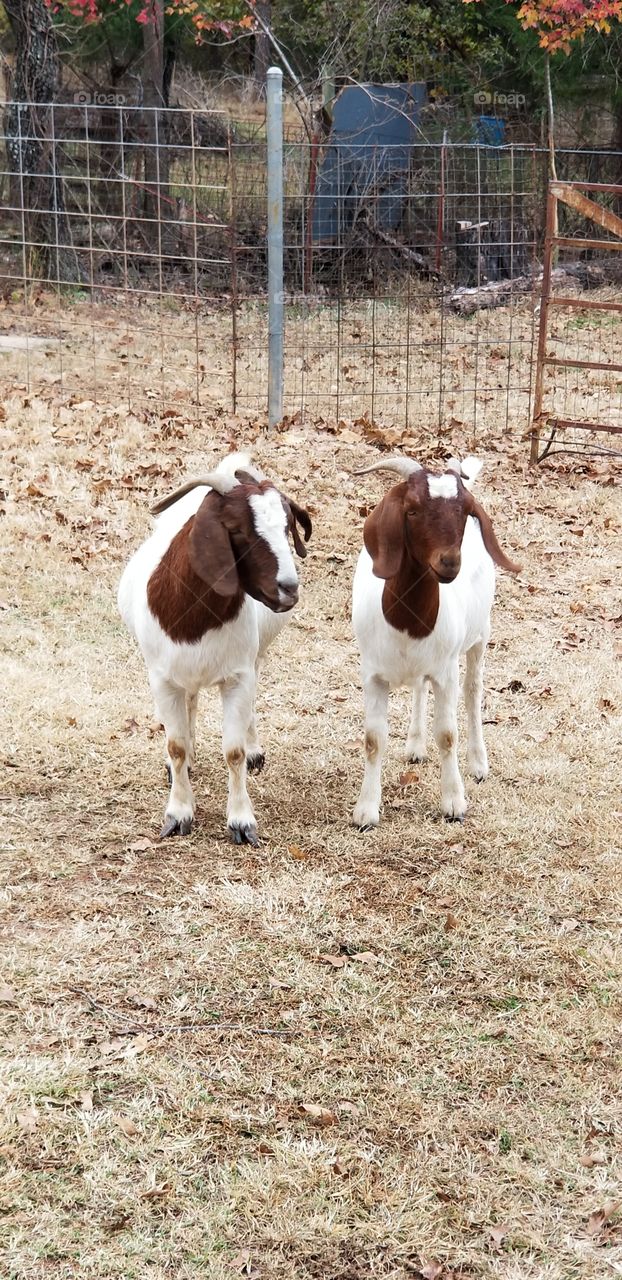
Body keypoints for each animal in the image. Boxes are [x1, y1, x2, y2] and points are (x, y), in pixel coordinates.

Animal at [117, 451, 312, 845]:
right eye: (237, 530)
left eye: (287, 527)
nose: (288, 589)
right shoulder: (163, 679)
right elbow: (175, 746)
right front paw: (178, 813)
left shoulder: (238, 676)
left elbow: (233, 752)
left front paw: (241, 821)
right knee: (190, 702)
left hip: (256, 658)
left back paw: (254, 751)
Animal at [351, 454, 521, 828]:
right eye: (412, 510)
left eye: (465, 512)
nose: (450, 562)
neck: (408, 623)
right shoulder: (372, 674)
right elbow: (373, 739)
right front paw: (366, 810)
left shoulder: (446, 673)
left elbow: (447, 734)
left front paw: (454, 802)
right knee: (419, 686)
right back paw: (415, 745)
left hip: (479, 637)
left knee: (473, 693)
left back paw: (478, 763)